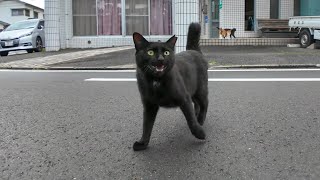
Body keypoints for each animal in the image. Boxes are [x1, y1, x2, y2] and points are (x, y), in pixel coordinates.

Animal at [132, 22, 209, 152]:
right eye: (150, 52)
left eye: (166, 53)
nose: (160, 59)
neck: (156, 81)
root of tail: (193, 50)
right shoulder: (149, 105)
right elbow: (146, 125)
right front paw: (142, 143)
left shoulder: (184, 98)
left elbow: (191, 120)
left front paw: (199, 133)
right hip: (192, 91)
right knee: (197, 104)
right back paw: (197, 115)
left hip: (200, 89)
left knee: (205, 103)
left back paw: (200, 120)